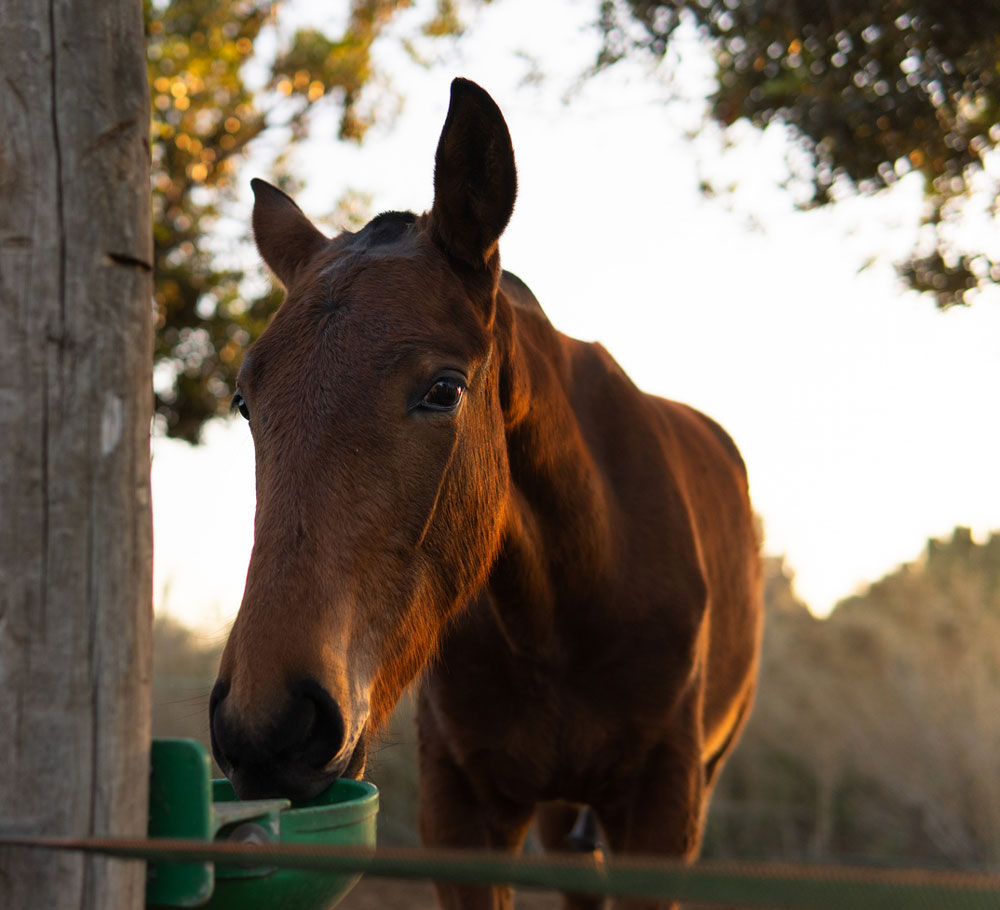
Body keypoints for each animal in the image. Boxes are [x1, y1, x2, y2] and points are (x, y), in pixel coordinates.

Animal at [210, 78, 762, 909]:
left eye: (443, 390)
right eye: (246, 401)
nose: (268, 725)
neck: (563, 613)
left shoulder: (664, 810)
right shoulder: (462, 810)